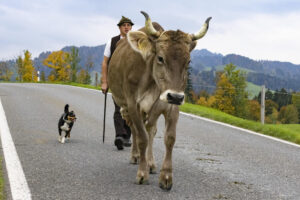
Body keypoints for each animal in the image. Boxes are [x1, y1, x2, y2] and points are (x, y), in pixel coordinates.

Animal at [108, 11, 211, 191]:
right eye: (161, 58)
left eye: (188, 62)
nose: (175, 97)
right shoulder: (133, 105)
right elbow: (141, 137)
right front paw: (142, 174)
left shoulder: (171, 106)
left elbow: (169, 138)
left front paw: (166, 177)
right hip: (125, 106)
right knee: (135, 130)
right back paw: (135, 156)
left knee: (151, 130)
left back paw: (151, 163)